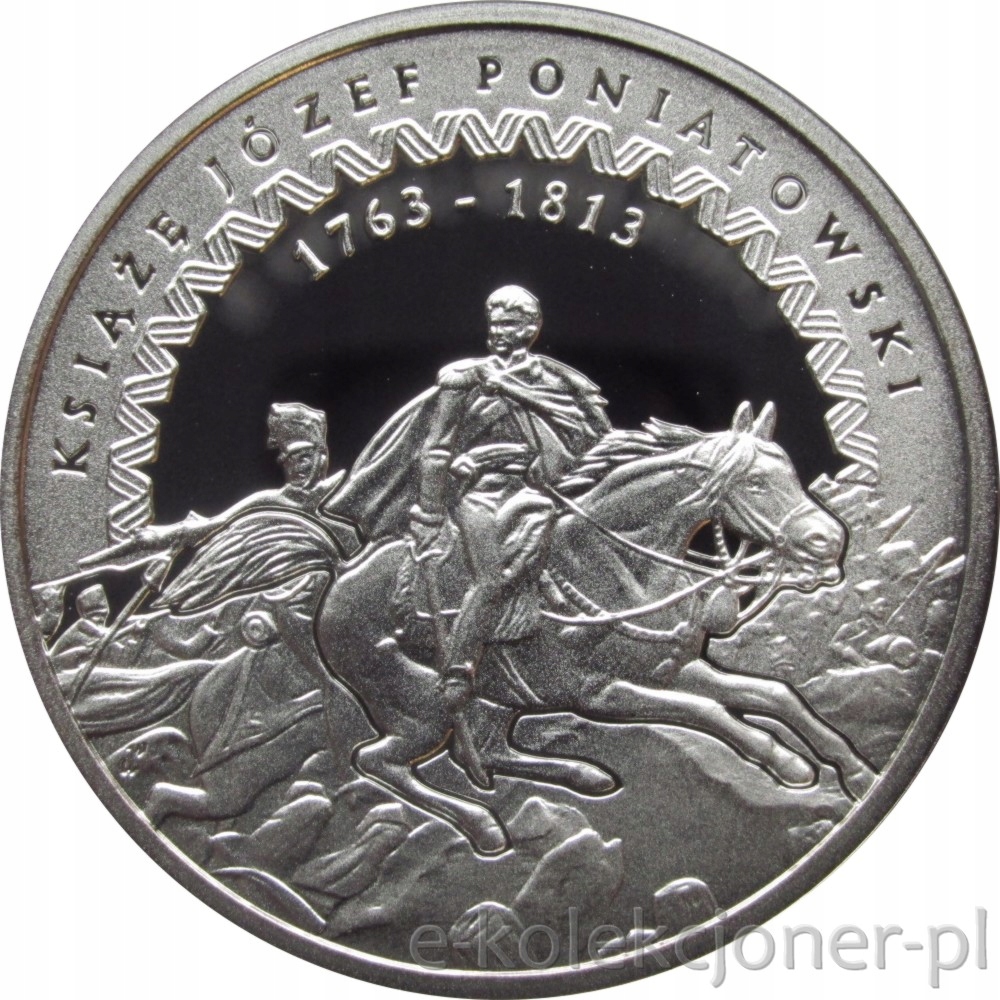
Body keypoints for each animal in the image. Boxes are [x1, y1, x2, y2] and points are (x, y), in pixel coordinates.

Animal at [315, 402, 876, 855]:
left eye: (792, 472)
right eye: (756, 481)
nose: (831, 540)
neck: (617, 565)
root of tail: (338, 583)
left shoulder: (672, 669)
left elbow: (776, 695)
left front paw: (852, 768)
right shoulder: (600, 693)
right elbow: (708, 711)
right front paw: (788, 763)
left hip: (497, 697)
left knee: (485, 749)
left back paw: (582, 773)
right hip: (419, 707)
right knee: (379, 760)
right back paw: (483, 824)